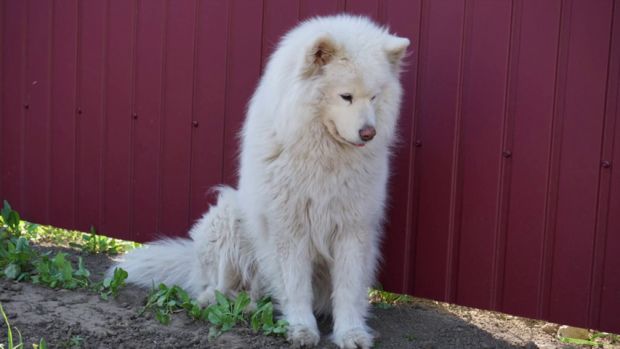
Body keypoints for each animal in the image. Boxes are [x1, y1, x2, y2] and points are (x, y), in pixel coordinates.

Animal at [112, 14, 412, 346]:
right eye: (346, 96)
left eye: (374, 97)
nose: (369, 133)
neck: (323, 153)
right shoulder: (289, 228)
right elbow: (296, 286)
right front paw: (302, 328)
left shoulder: (353, 228)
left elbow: (348, 289)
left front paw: (351, 333)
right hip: (227, 217)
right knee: (217, 286)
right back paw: (223, 303)